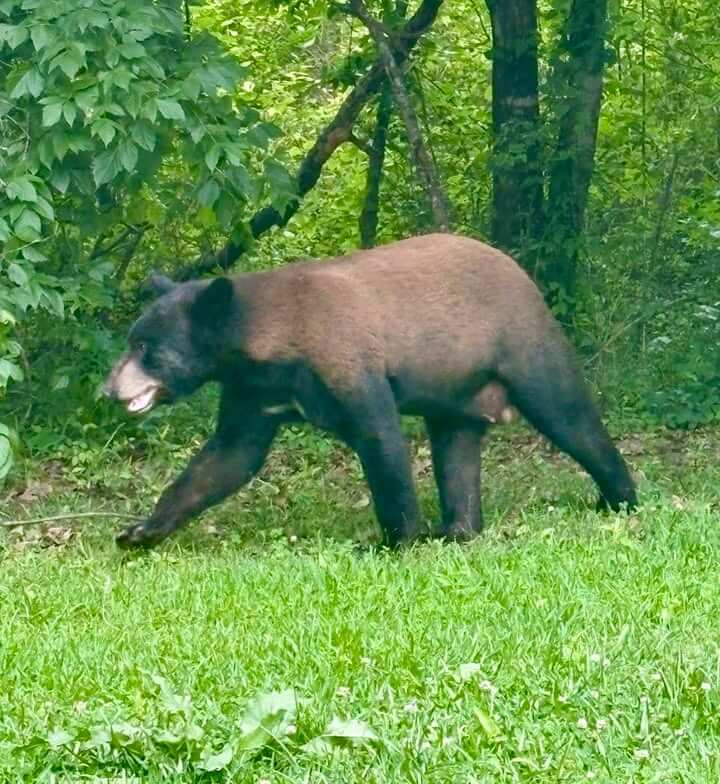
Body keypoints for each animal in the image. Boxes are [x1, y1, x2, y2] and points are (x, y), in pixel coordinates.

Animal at [103, 233, 637, 548]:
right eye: (133, 339)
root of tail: (520, 270)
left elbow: (380, 439)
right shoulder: (253, 390)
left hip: (522, 344)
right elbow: (228, 457)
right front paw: (139, 531)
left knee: (569, 415)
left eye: (147, 347)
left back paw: (619, 499)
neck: (271, 343)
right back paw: (458, 528)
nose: (109, 389)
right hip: (456, 389)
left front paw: (396, 539)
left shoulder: (344, 359)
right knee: (456, 450)